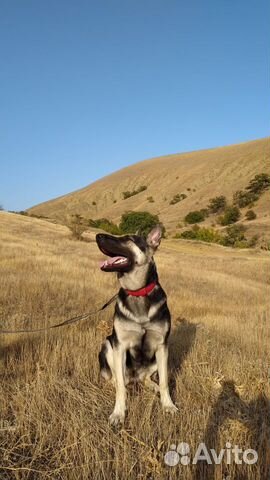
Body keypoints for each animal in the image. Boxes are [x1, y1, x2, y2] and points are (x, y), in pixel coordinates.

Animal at [96, 225, 178, 424]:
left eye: (128, 239)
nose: (97, 236)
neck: (138, 292)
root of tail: (134, 377)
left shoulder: (162, 346)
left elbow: (164, 381)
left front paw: (168, 405)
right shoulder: (119, 345)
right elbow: (120, 387)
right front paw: (119, 413)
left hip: (159, 358)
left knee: (148, 378)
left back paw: (152, 386)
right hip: (108, 345)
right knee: (117, 380)